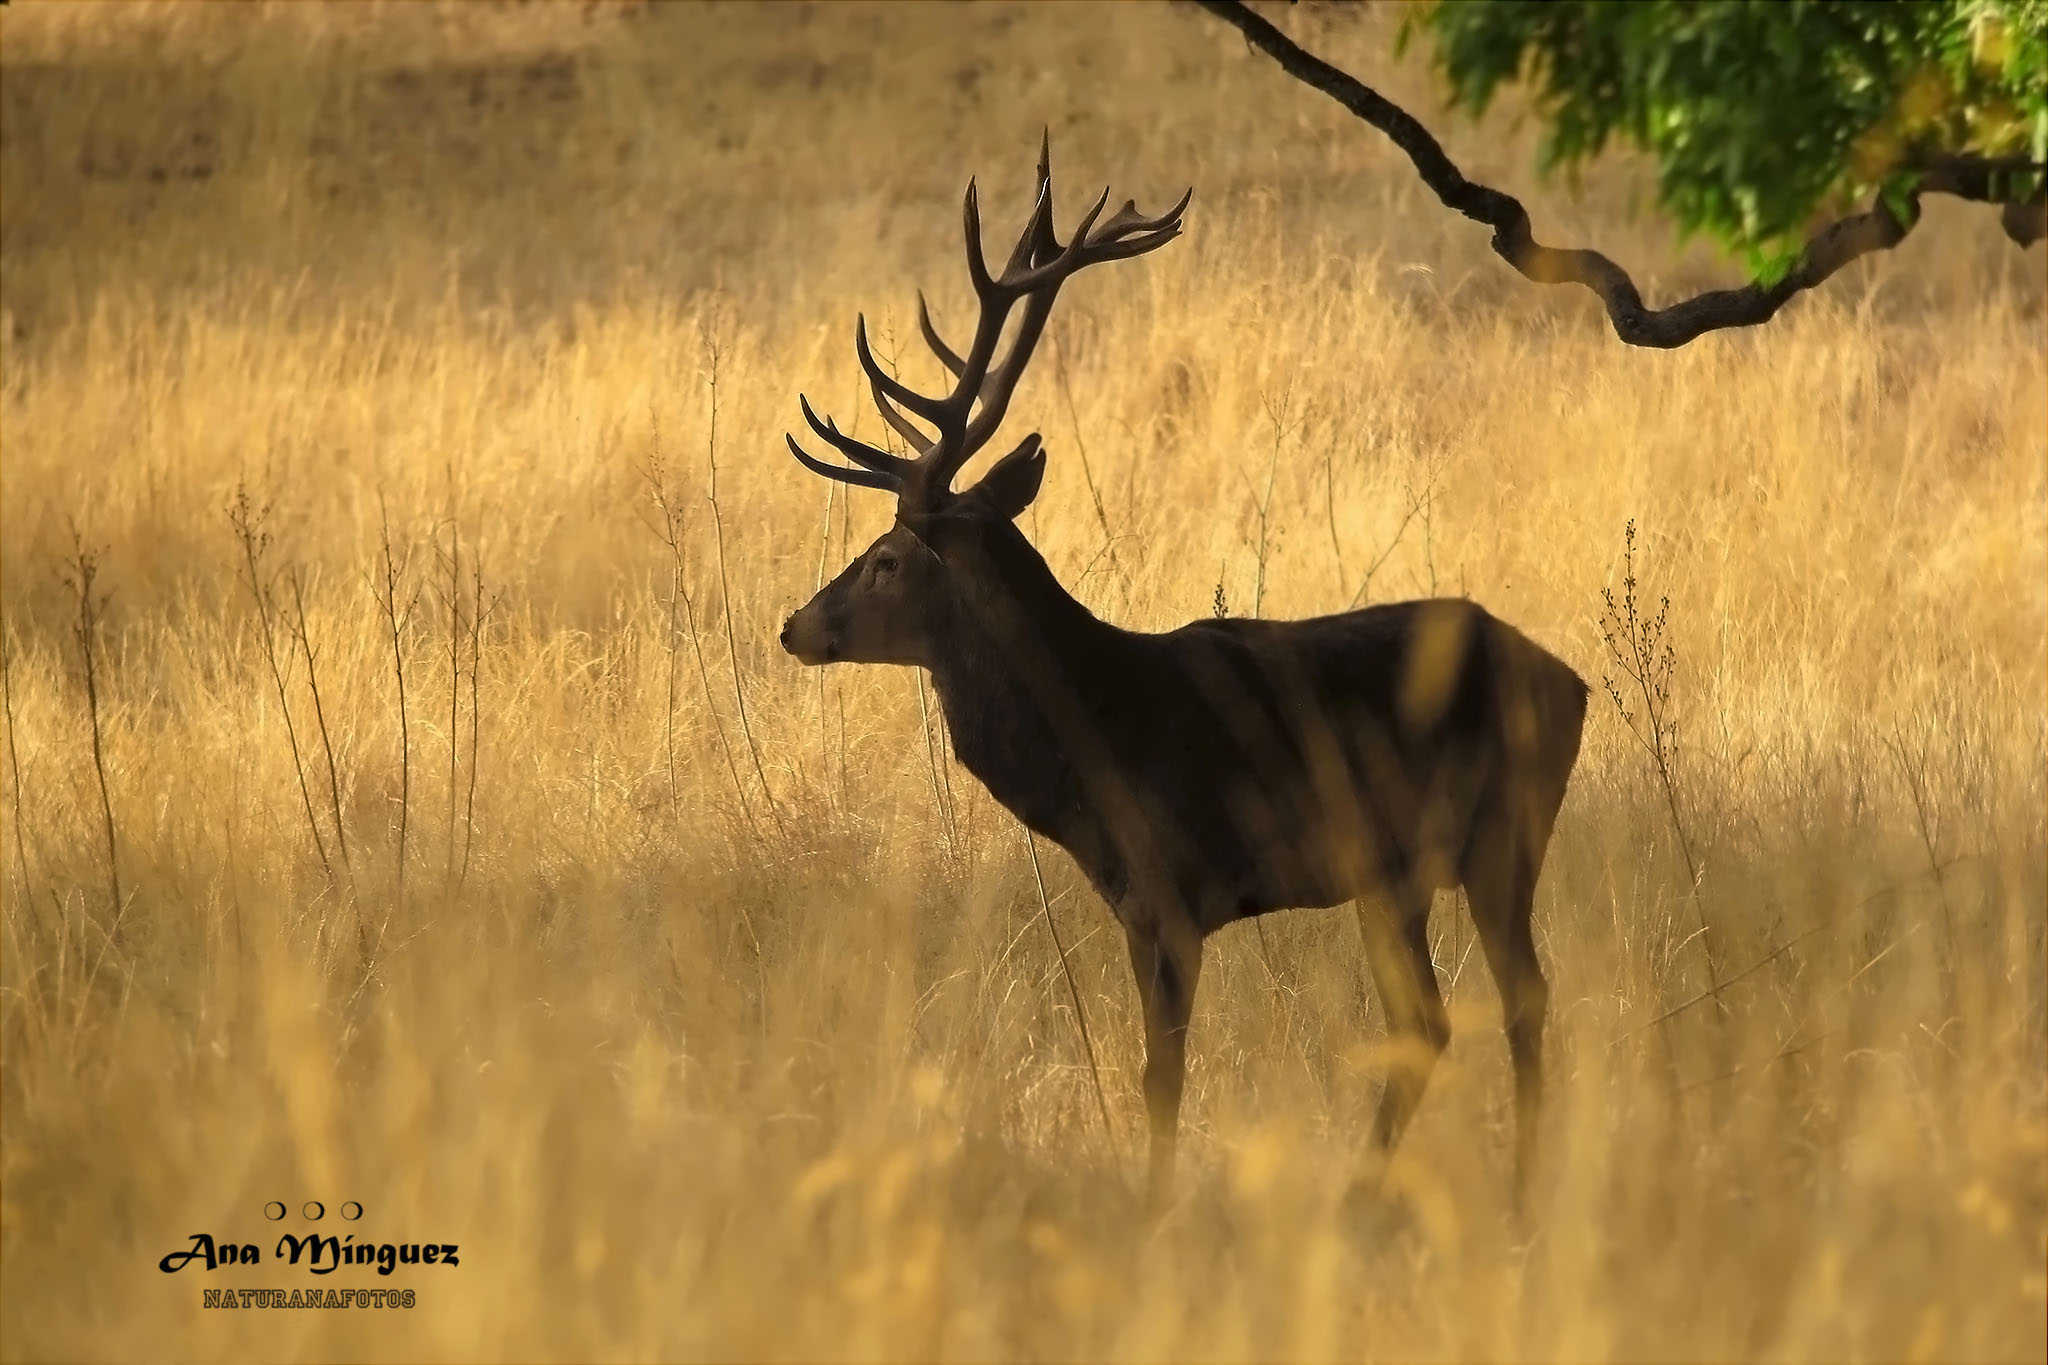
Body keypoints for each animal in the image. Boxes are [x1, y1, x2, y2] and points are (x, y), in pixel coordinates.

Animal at [774, 144, 1589, 1211]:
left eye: (885, 560)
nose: (793, 625)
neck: (1094, 746)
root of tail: (1575, 685)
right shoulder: (1141, 904)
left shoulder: (1173, 889)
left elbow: (1161, 1072)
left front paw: (1153, 1202)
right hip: (1396, 871)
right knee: (1432, 1021)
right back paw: (1373, 1193)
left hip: (1500, 829)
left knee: (1517, 999)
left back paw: (1516, 1191)